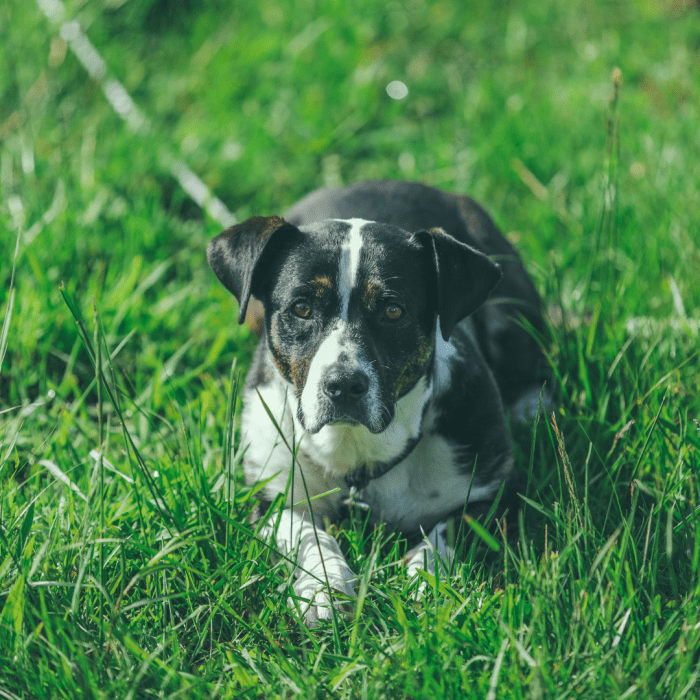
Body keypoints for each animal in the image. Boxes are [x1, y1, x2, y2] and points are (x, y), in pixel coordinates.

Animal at [208, 179, 552, 624]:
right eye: (301, 308)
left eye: (392, 310)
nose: (342, 385)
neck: (358, 453)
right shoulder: (273, 496)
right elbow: (308, 534)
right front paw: (324, 587)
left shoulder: (496, 493)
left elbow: (449, 531)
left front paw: (427, 578)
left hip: (509, 302)